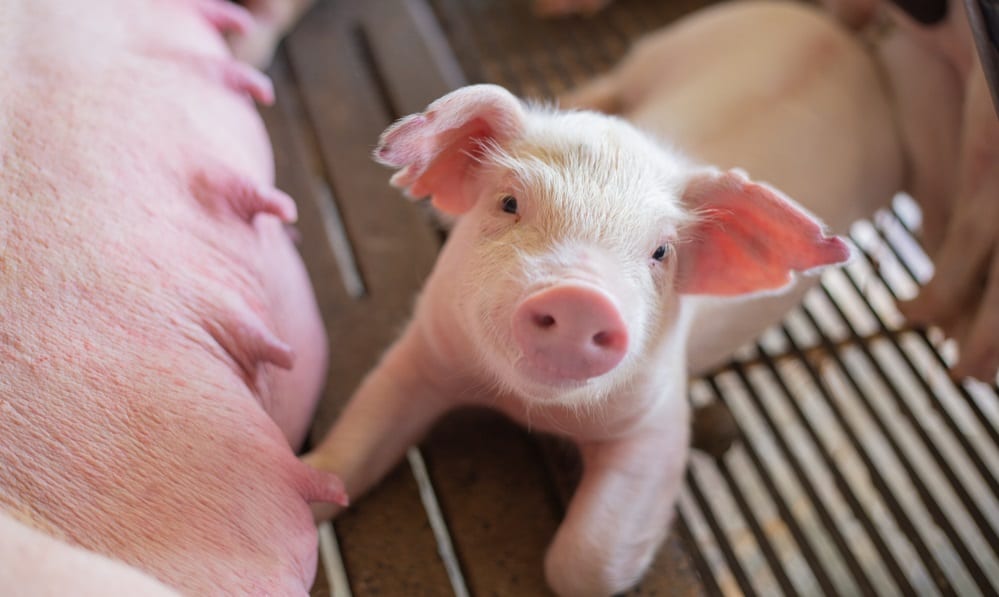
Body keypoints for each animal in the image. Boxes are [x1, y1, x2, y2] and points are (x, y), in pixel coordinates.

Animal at [305, 2, 905, 595]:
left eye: (662, 251)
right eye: (508, 203)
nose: (580, 298)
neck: (525, 407)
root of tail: (831, 30)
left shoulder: (659, 422)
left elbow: (583, 563)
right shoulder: (424, 343)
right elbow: (354, 441)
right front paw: (307, 486)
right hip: (671, 45)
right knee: (609, 84)